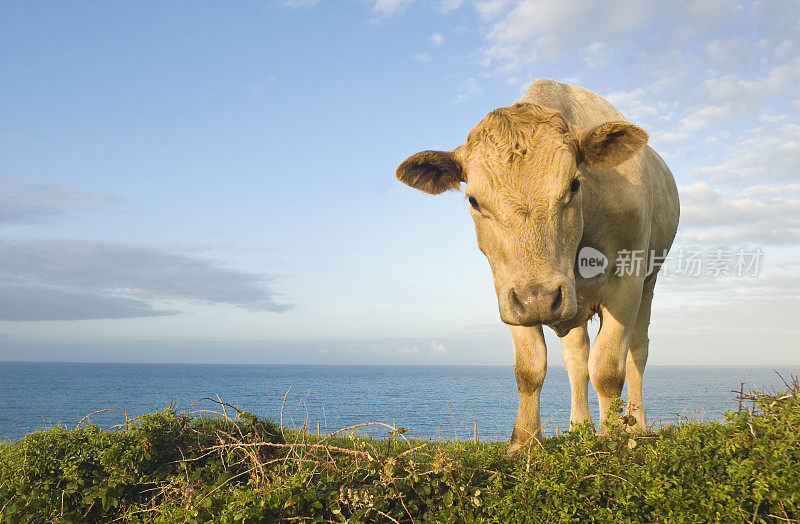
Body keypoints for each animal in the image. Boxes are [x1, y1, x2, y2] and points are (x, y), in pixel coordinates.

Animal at [396, 78, 680, 454]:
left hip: (648, 282)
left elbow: (608, 369)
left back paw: (635, 426)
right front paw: (525, 442)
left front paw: (612, 439)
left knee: (636, 354)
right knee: (577, 358)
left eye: (574, 184)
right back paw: (579, 427)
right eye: (473, 200)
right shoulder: (510, 290)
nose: (540, 299)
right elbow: (530, 369)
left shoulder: (627, 281)